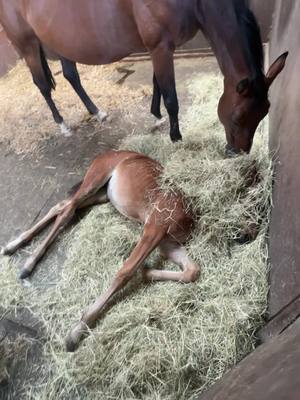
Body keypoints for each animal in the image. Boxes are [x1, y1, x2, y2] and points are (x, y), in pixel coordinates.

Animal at [0, 0, 286, 152]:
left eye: (264, 113)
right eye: (236, 118)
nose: (238, 152)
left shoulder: (161, 48)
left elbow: (157, 84)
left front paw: (156, 116)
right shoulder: (160, 47)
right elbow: (171, 97)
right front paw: (175, 138)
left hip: (60, 42)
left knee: (71, 76)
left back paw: (97, 112)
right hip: (27, 45)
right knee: (42, 86)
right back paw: (63, 125)